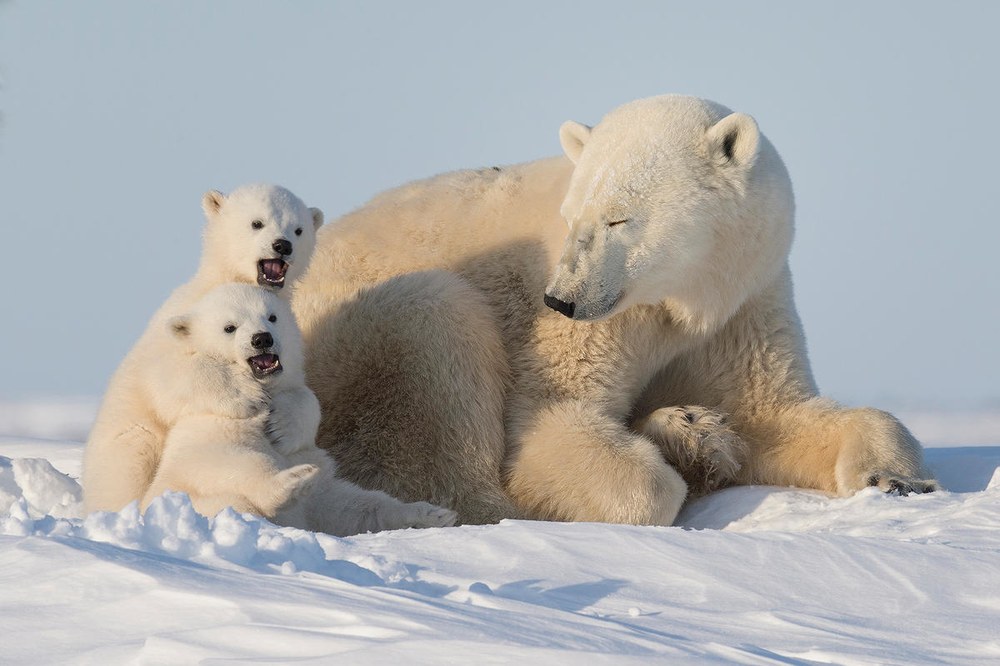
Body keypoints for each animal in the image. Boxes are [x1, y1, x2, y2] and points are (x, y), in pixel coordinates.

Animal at [84, 184, 324, 510]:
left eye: (298, 229)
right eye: (257, 223)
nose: (282, 245)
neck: (221, 281)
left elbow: (304, 393)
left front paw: (283, 425)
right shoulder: (180, 324)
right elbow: (168, 377)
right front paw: (246, 396)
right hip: (125, 448)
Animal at [138, 282, 458, 532]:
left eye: (272, 316)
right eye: (229, 327)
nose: (262, 339)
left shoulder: (311, 467)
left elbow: (347, 506)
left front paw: (431, 513)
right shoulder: (204, 444)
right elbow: (233, 465)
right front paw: (290, 478)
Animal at [294, 94, 936, 524]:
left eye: (618, 218)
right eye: (571, 215)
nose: (560, 298)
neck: (680, 297)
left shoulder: (744, 301)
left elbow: (773, 412)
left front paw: (894, 478)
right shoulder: (591, 326)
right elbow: (550, 426)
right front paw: (673, 466)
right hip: (341, 348)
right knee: (433, 327)